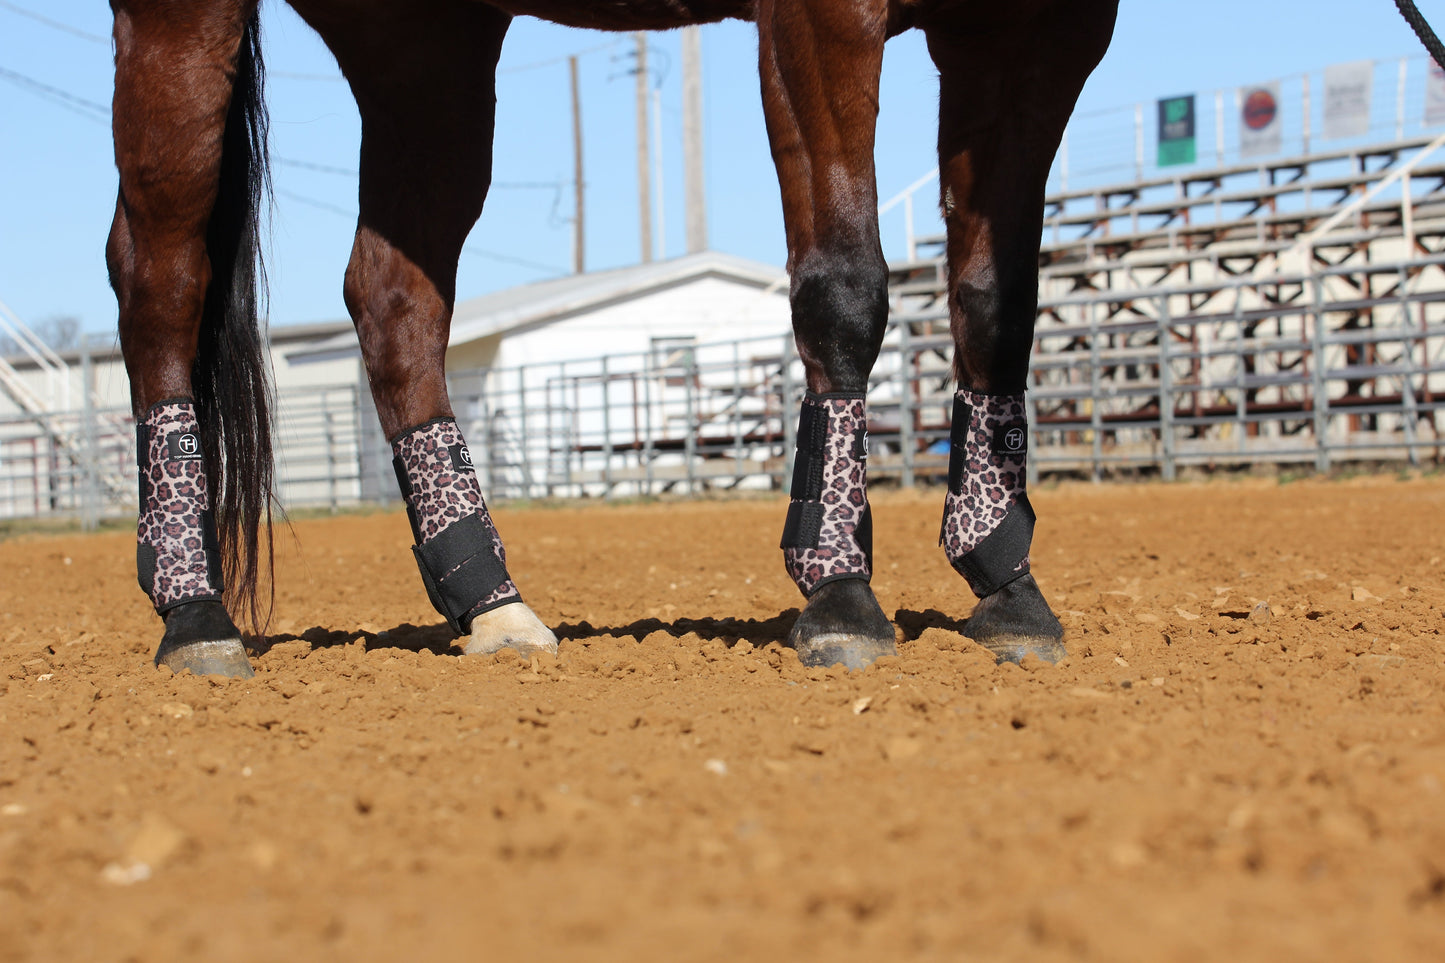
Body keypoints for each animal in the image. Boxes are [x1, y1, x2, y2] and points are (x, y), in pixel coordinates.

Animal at [109, 0, 1115, 673]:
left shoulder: (1043, 31)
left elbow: (997, 300)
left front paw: (1006, 581)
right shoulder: (821, 16)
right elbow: (845, 284)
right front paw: (838, 591)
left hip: (424, 53)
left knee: (393, 298)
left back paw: (490, 600)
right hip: (179, 22)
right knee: (159, 276)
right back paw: (194, 613)